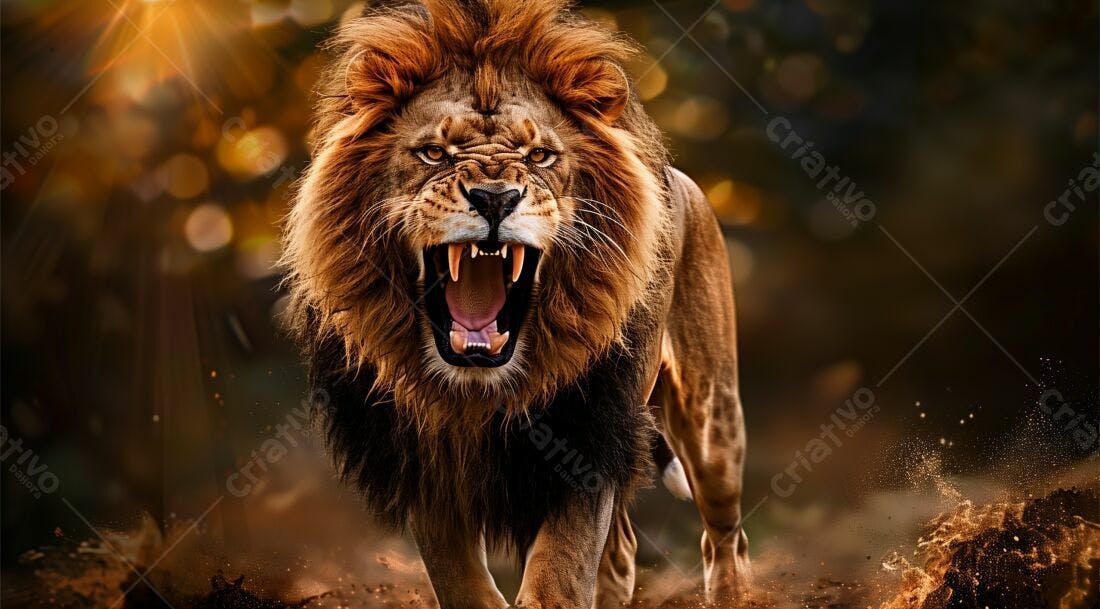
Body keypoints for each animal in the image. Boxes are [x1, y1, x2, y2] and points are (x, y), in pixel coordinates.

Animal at [281, 1, 751, 606]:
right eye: (434, 153)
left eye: (541, 156)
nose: (495, 198)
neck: (481, 387)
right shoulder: (425, 459)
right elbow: (460, 578)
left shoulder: (586, 435)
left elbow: (562, 570)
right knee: (622, 551)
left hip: (713, 421)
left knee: (724, 537)